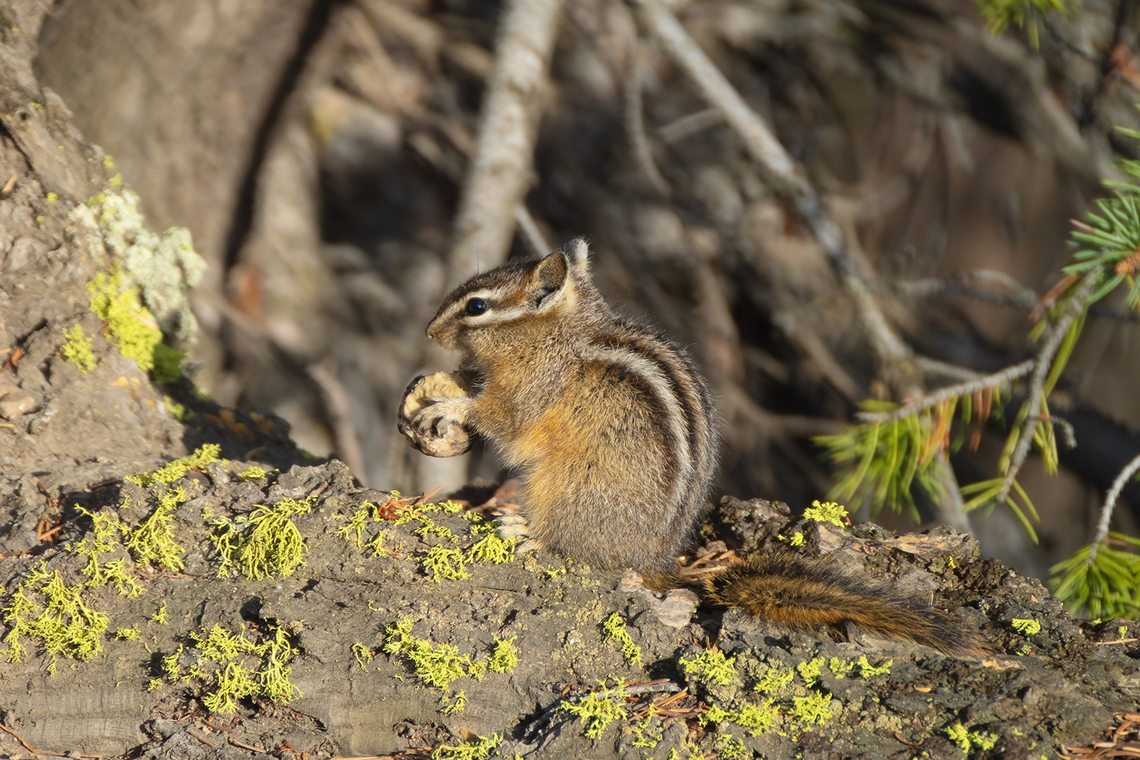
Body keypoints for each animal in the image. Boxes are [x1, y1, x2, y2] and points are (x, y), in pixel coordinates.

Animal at [399, 238, 984, 656]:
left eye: (476, 306)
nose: (426, 331)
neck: (559, 333)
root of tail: (653, 559)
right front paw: (438, 386)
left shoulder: (532, 388)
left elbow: (503, 418)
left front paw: (447, 407)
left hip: (564, 486)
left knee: (575, 548)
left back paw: (528, 531)